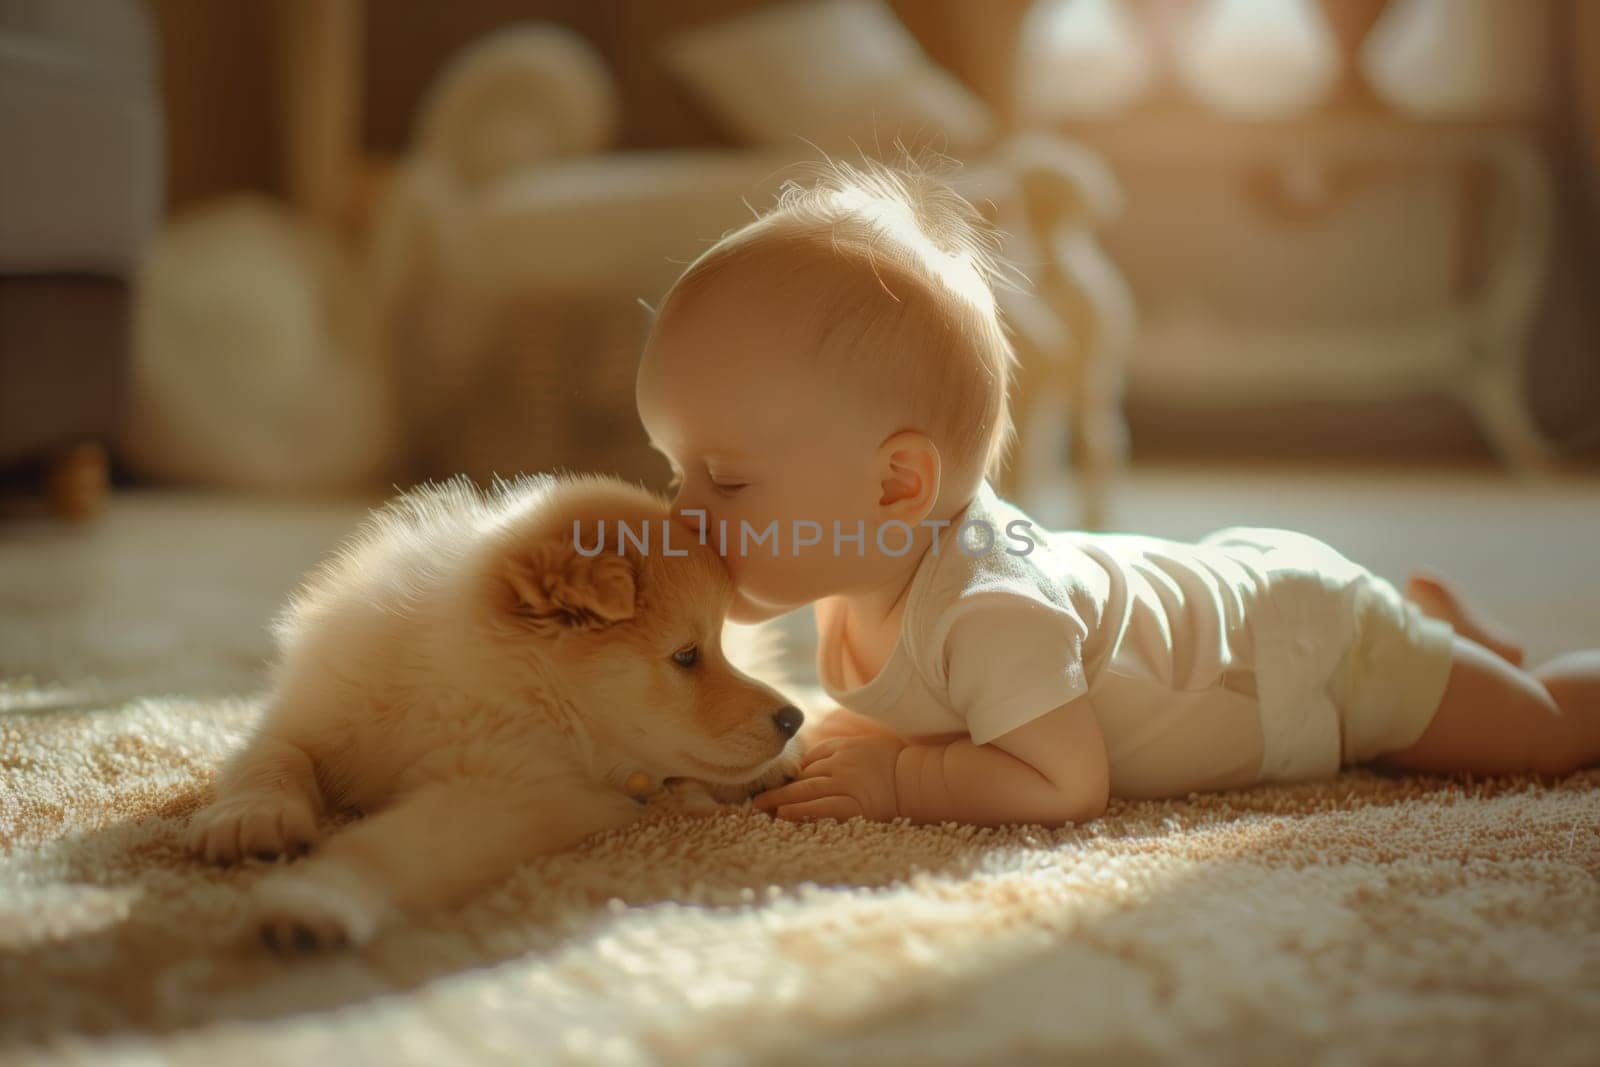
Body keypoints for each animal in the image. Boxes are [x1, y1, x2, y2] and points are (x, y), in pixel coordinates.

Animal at [188, 476, 806, 953]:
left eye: (711, 646)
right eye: (686, 656)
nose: (792, 719)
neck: (463, 684)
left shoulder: (504, 794)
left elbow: (386, 846)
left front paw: (313, 900)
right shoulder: (316, 706)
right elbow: (273, 755)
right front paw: (252, 819)